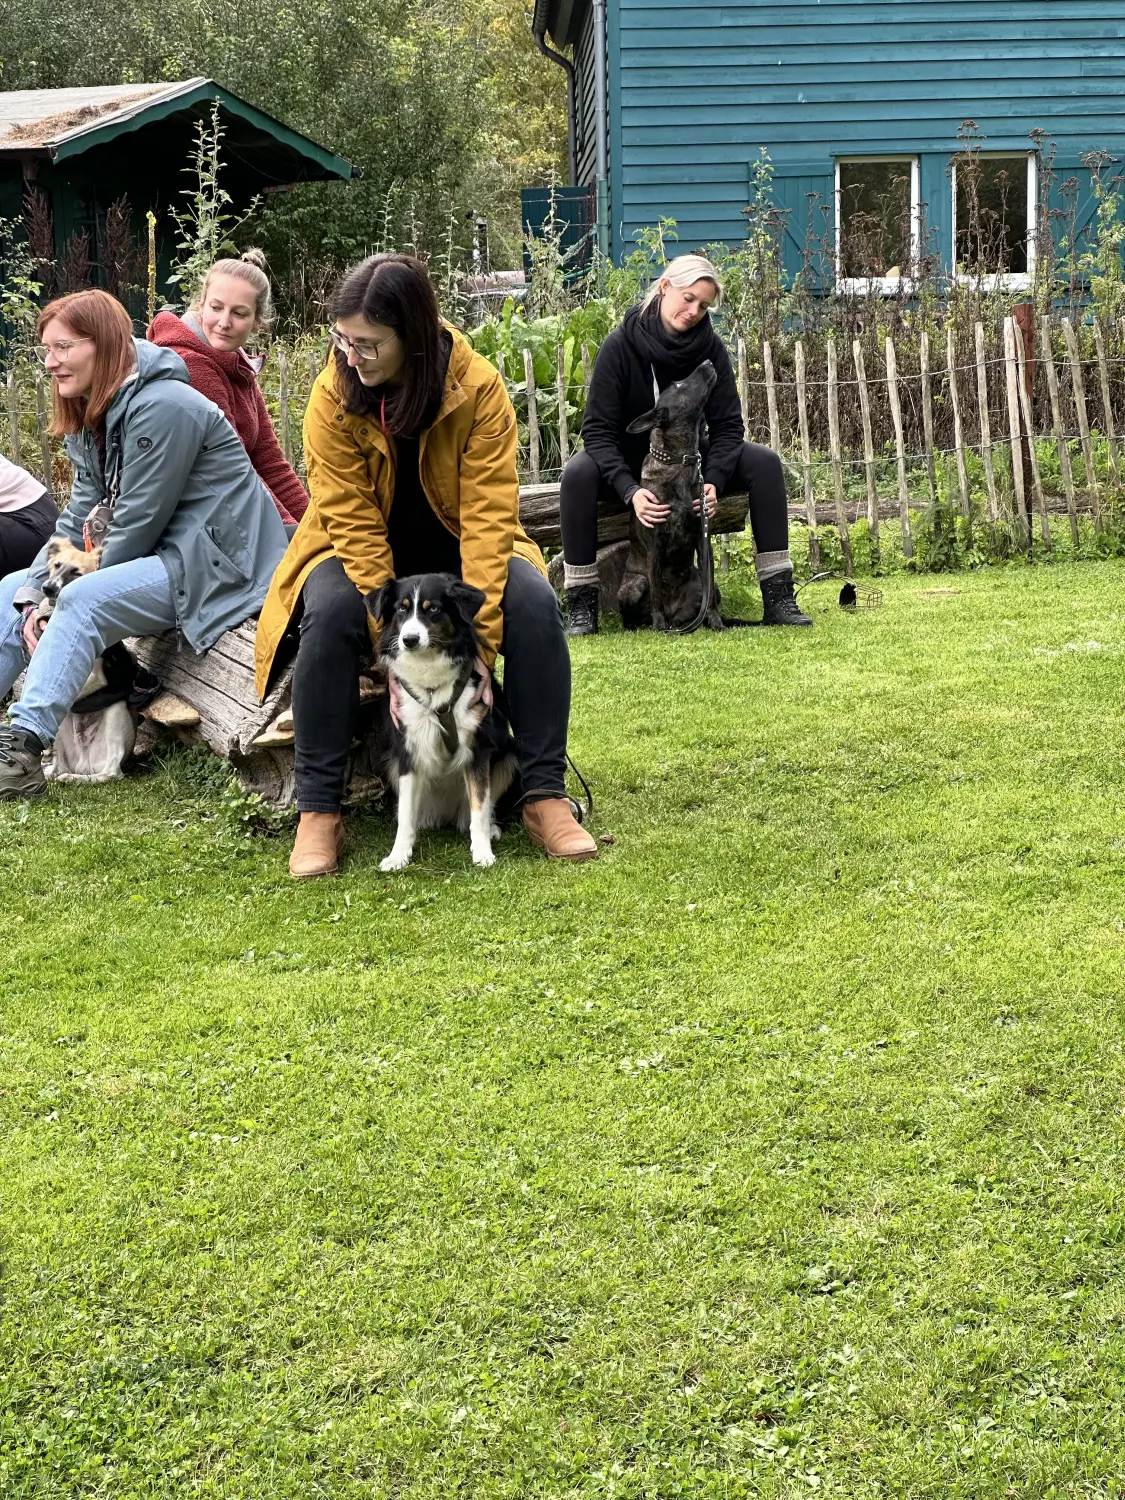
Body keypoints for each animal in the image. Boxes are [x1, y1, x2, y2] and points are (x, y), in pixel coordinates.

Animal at [367, 576, 522, 876]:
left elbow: (479, 808)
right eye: (401, 609)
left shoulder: (478, 750)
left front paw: (482, 853)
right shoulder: (407, 751)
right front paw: (398, 855)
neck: (431, 685)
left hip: (509, 758)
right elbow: (405, 814)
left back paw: (492, 828)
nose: (410, 640)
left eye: (434, 609)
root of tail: (446, 815)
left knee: (480, 811)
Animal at [618, 361, 723, 633]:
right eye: (678, 385)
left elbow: (710, 591)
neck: (679, 461)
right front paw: (658, 624)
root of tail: (676, 615)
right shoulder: (655, 545)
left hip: (700, 588)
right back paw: (651, 626)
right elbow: (656, 591)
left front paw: (716, 621)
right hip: (633, 586)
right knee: (637, 611)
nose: (708, 362)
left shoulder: (703, 540)